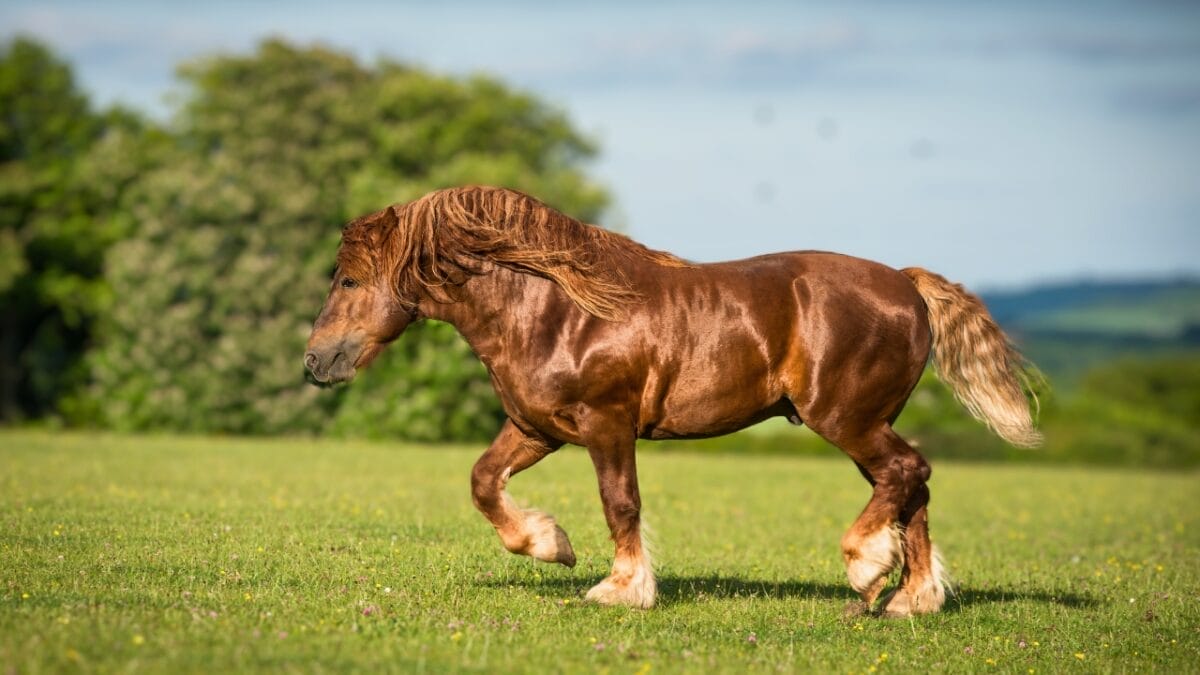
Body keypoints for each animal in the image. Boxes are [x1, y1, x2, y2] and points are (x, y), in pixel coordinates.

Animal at [304, 185, 1041, 617]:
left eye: (348, 279)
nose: (315, 361)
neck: (555, 308)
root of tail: (907, 284)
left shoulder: (606, 423)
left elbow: (621, 502)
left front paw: (621, 588)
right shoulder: (537, 428)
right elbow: (484, 481)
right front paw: (550, 544)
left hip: (846, 418)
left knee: (908, 474)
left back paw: (868, 570)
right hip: (867, 423)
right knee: (911, 487)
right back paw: (910, 599)